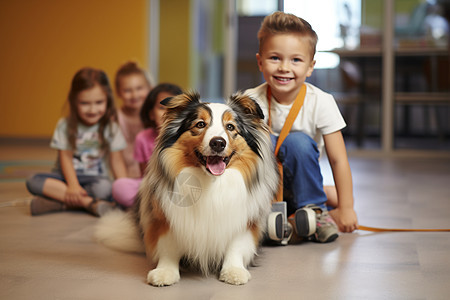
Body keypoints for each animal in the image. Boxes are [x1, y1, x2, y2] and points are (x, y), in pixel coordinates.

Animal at [94, 91, 278, 286]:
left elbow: (236, 244)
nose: (218, 143)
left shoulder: (244, 221)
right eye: (200, 124)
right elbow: (168, 246)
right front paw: (165, 271)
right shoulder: (164, 217)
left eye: (230, 127)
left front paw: (234, 271)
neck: (211, 182)